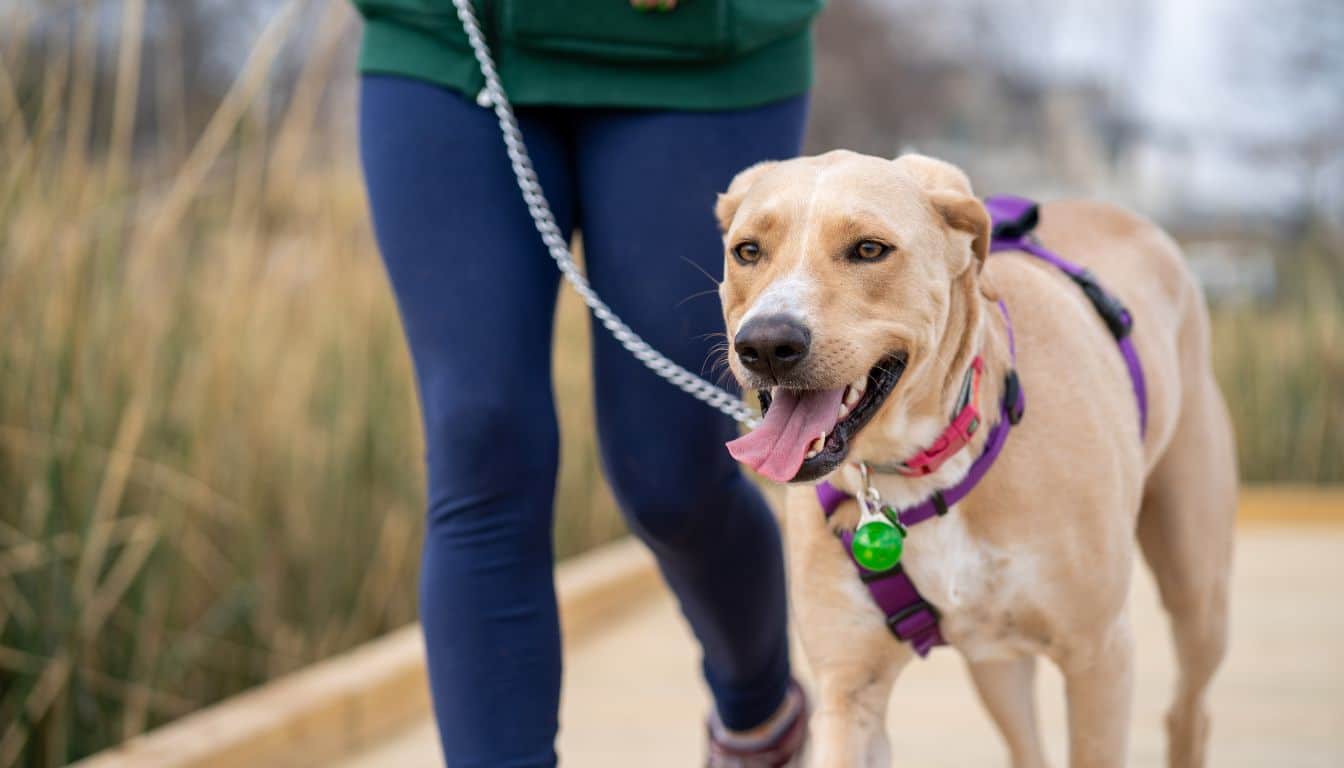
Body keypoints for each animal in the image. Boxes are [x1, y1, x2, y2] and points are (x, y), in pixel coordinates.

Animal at [720, 151, 1231, 768]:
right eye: (748, 251)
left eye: (868, 249)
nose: (766, 345)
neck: (916, 471)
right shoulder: (851, 689)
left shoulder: (1100, 656)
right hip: (996, 662)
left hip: (1197, 591)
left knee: (1190, 708)